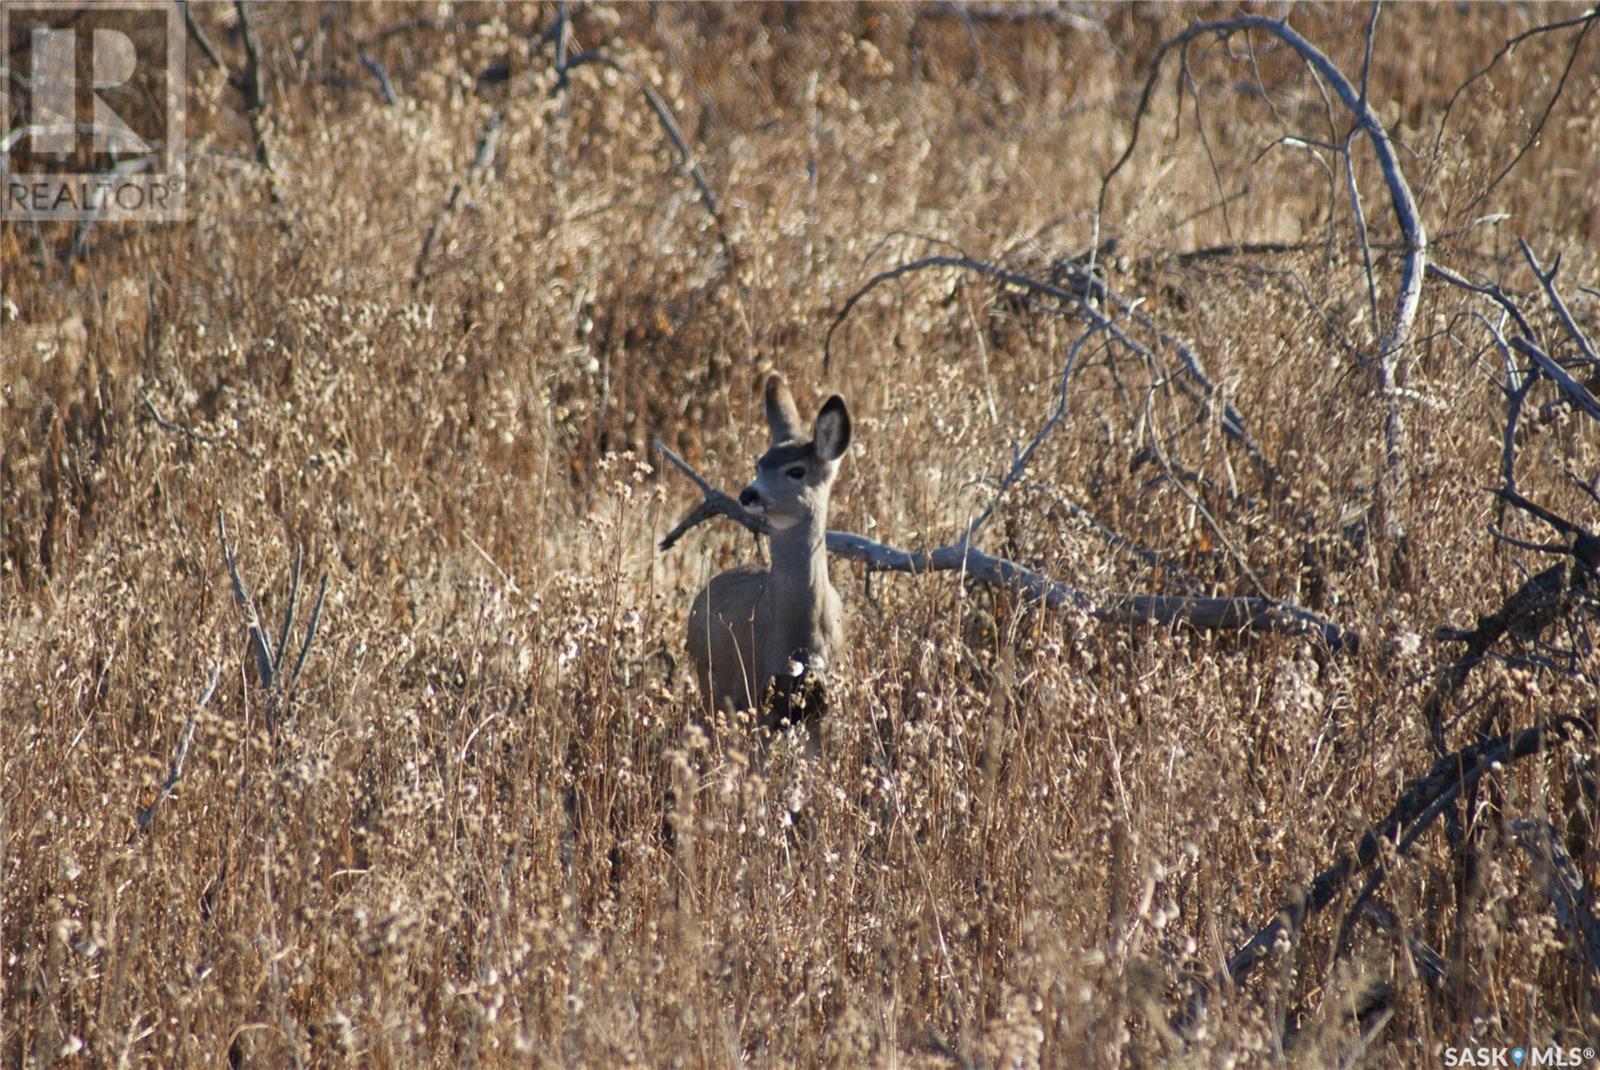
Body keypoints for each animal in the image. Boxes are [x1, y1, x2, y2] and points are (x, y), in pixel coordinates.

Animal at [684, 374, 851, 735]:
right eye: (759, 464)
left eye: (796, 471)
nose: (748, 494)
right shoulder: (759, 693)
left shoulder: (822, 705)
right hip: (713, 681)